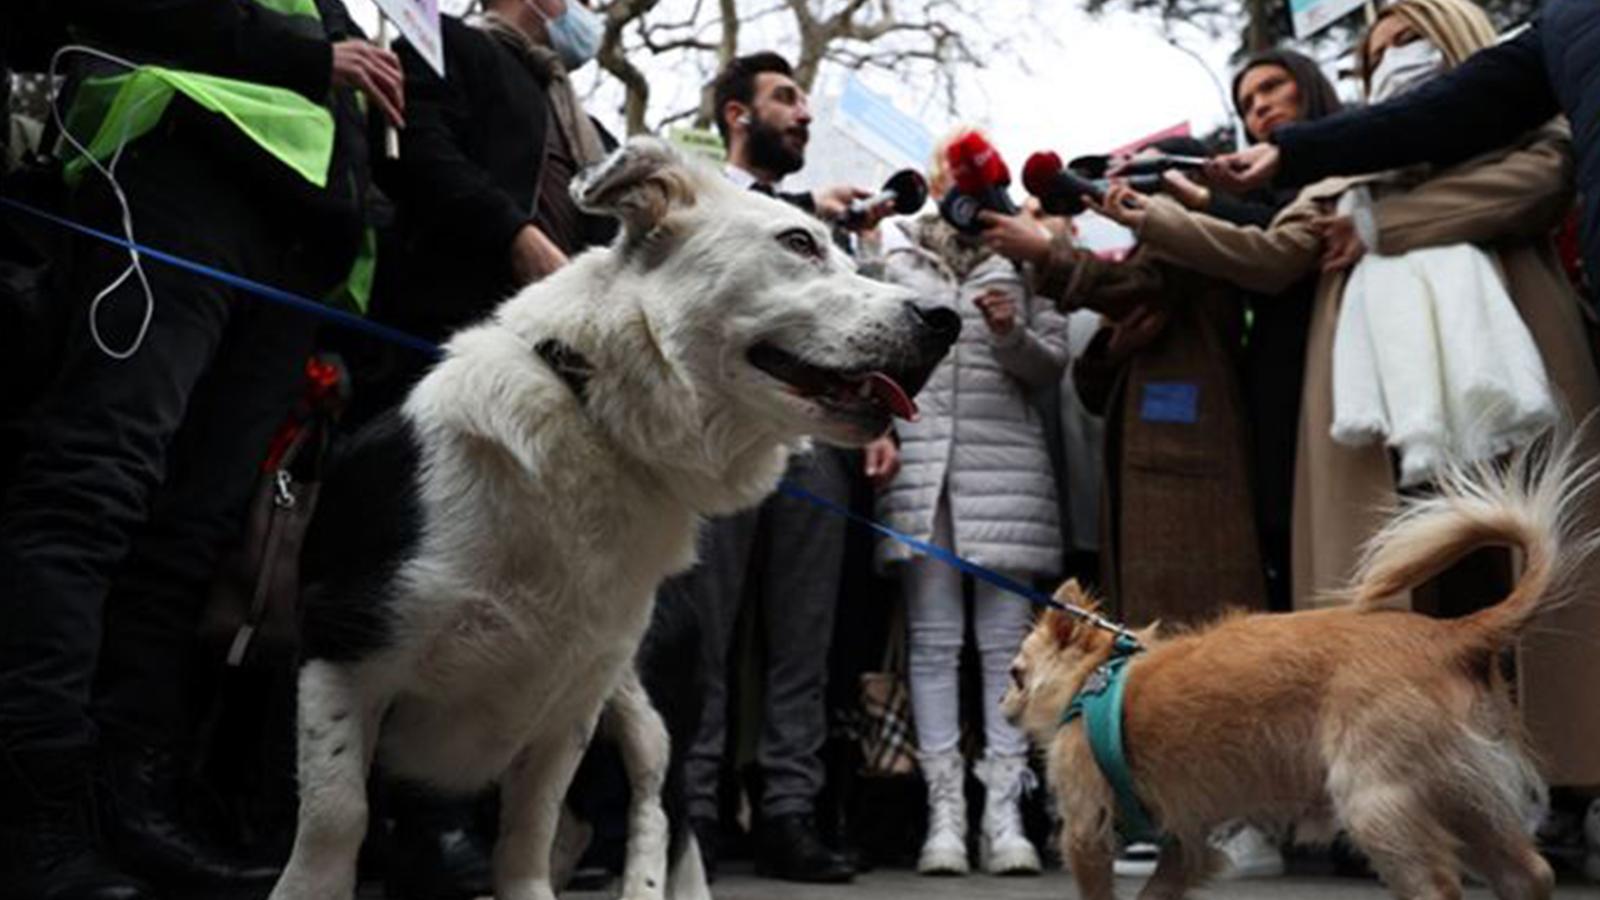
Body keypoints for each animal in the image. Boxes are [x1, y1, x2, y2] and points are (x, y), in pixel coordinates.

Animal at [268, 138, 953, 896]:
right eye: (798, 241)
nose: (945, 321)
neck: (598, 419)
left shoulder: (567, 708)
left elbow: (528, 836)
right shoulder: (343, 649)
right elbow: (337, 819)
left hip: (646, 702)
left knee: (655, 810)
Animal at [992, 438, 1593, 896]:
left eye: (1015, 675)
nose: (1001, 706)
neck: (1096, 677)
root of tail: (1455, 634)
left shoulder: (1086, 830)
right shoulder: (1185, 844)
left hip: (1377, 800)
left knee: (1437, 886)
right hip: (1466, 796)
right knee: (1529, 873)